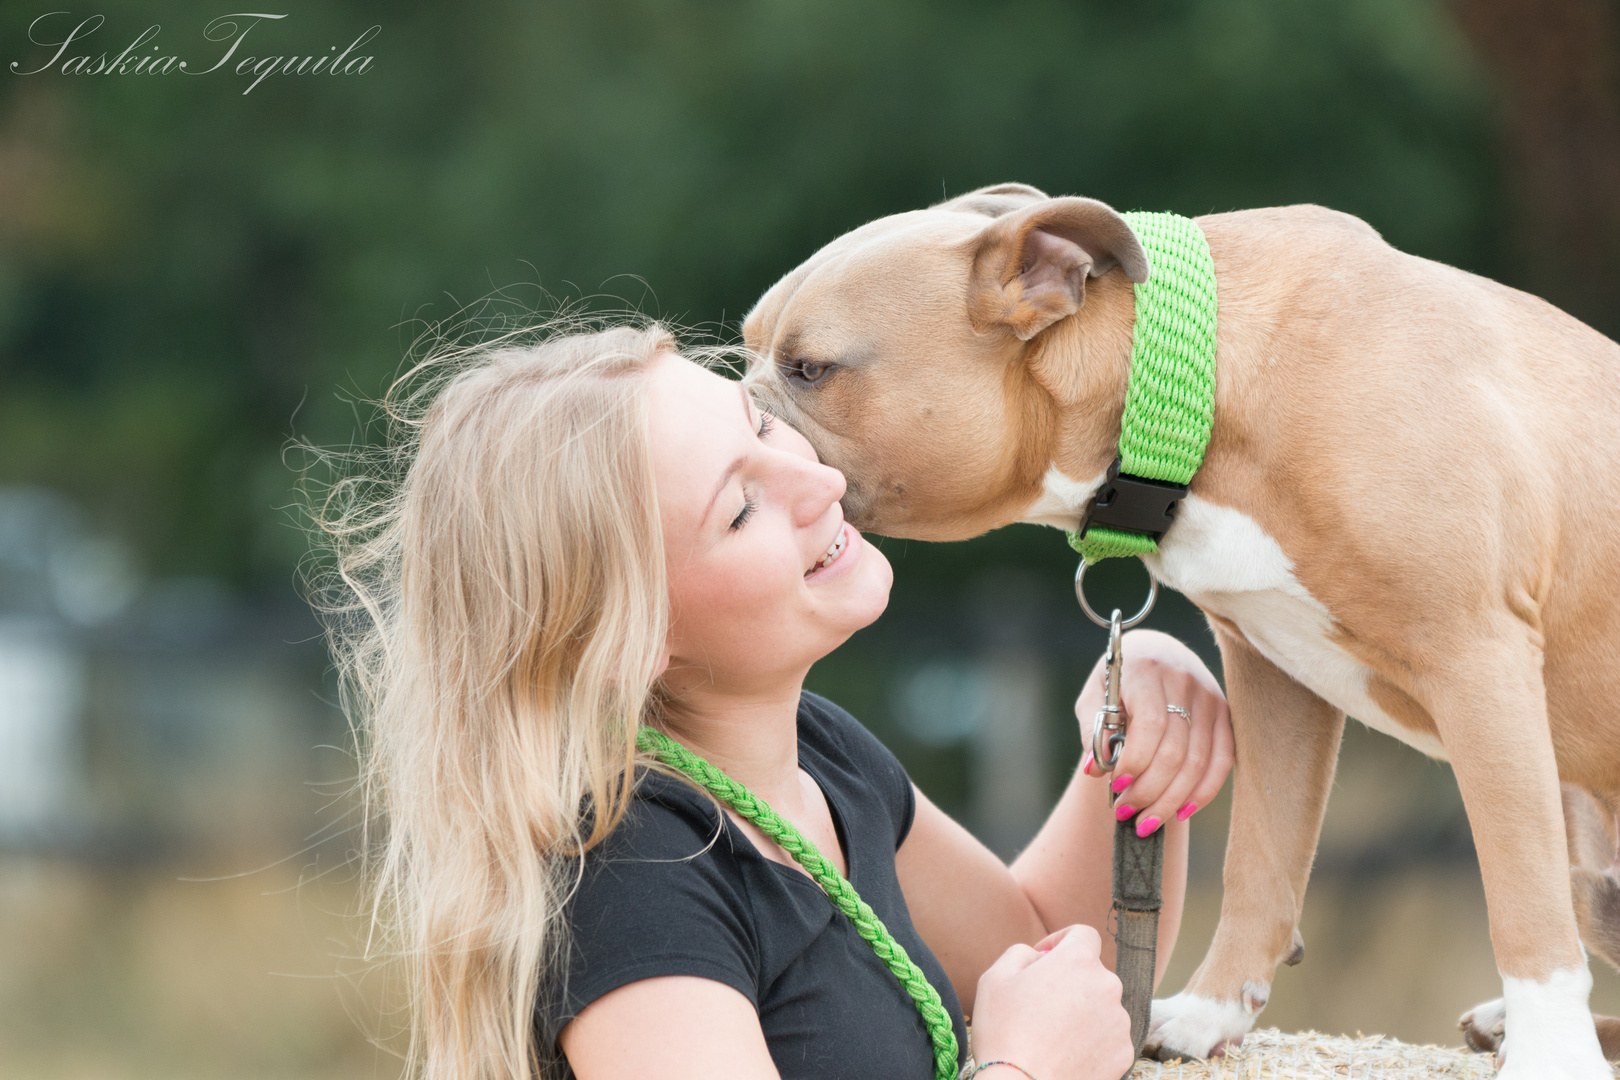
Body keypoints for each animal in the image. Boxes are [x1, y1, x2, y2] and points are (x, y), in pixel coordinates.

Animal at [741, 181, 1620, 1075]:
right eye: (749, 350)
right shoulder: (1275, 675)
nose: (737, 404)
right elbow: (1261, 862)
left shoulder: (1477, 662)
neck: (1190, 390)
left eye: (812, 370)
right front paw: (1210, 1012)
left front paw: (1553, 1052)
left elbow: (1520, 892)